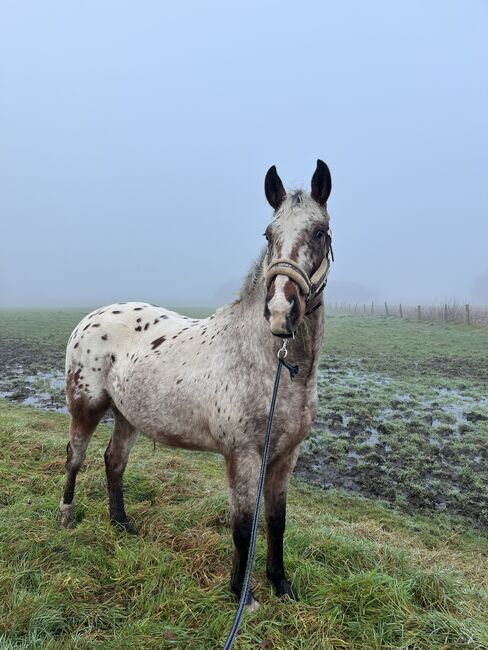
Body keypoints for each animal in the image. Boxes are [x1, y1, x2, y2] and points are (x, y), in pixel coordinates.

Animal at [60, 159, 332, 604]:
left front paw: (281, 584)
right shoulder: (243, 456)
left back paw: (121, 524)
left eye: (320, 232)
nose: (280, 312)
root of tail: (90, 317)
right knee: (75, 457)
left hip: (127, 415)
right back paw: (66, 515)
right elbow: (243, 527)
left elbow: (276, 522)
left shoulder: (284, 456)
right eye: (268, 235)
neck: (272, 367)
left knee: (114, 462)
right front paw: (243, 595)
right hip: (87, 406)